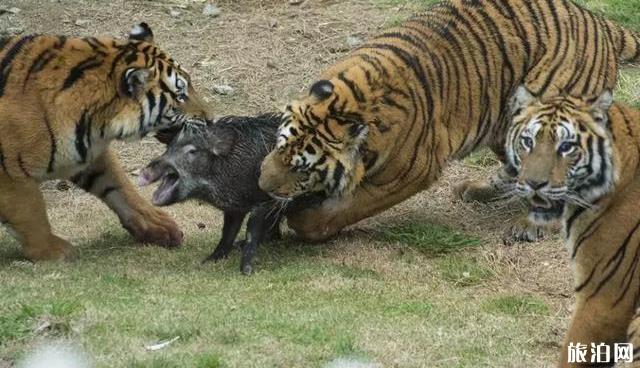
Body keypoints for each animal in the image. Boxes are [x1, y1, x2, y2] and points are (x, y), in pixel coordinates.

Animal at [0, 23, 209, 260]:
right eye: (180, 95)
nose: (212, 119)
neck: (97, 123)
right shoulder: (9, 173)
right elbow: (29, 210)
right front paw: (54, 251)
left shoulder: (85, 153)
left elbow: (121, 187)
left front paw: (158, 226)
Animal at [255, 0, 640, 242]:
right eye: (279, 144)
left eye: (302, 168)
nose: (261, 184)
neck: (352, 102)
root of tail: (599, 21)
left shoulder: (409, 173)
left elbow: (348, 207)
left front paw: (304, 222)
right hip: (505, 121)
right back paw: (479, 190)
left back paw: (533, 225)